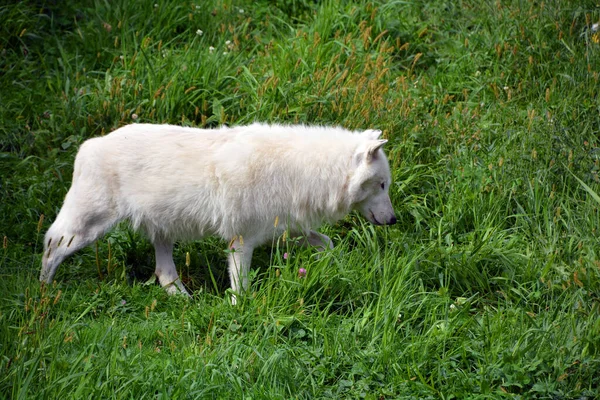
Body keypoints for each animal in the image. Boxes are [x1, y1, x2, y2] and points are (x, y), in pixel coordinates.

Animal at [42, 123, 398, 302]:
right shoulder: (240, 242)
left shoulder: (283, 230)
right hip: (85, 230)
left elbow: (328, 244)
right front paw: (240, 313)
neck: (303, 171)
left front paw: (337, 269)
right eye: (382, 185)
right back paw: (44, 293)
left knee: (164, 274)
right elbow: (241, 287)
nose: (394, 220)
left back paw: (184, 299)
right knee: (50, 244)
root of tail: (89, 145)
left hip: (162, 232)